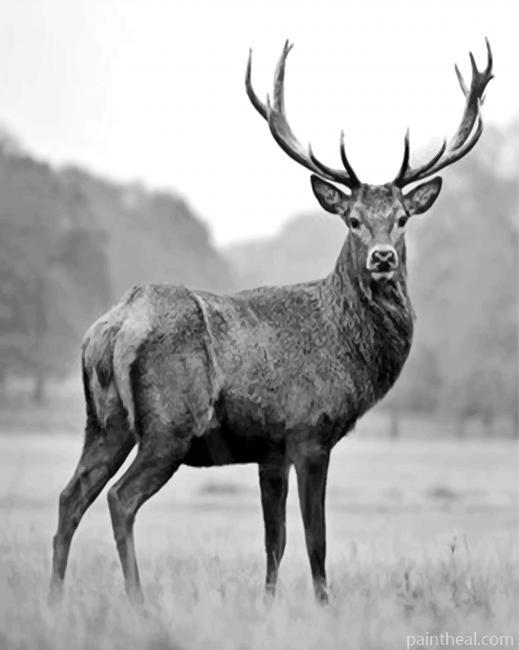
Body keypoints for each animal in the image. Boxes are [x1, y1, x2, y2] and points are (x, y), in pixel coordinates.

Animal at [50, 39, 493, 605]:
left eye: (402, 218)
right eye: (352, 220)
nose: (383, 258)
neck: (347, 351)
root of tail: (113, 326)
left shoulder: (270, 451)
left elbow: (274, 541)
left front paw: (267, 605)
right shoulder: (309, 432)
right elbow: (315, 540)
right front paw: (324, 607)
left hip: (105, 422)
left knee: (70, 497)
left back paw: (54, 599)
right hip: (169, 425)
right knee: (119, 499)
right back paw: (138, 603)